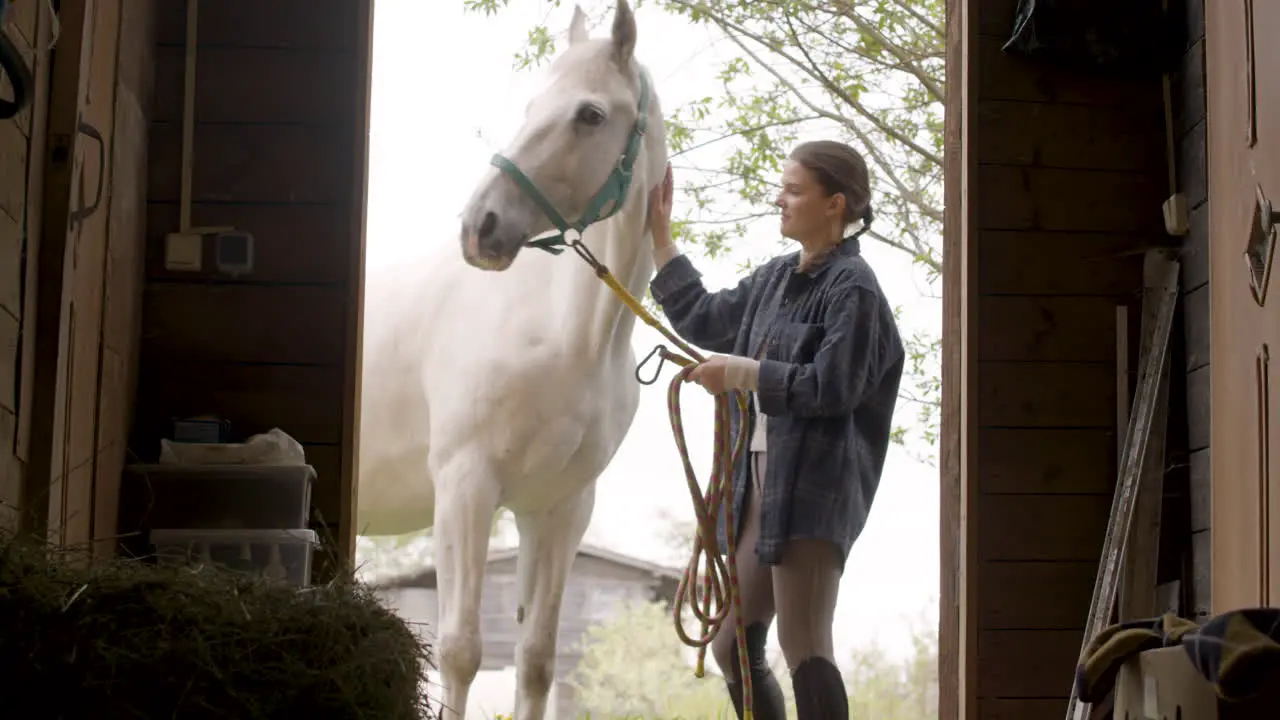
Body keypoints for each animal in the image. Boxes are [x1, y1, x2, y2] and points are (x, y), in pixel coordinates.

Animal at [355, 2, 665, 712]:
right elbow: (460, 651)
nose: (481, 227)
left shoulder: (558, 508)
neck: (563, 334)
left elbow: (536, 661)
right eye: (530, 106)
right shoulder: (465, 487)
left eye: (589, 114)